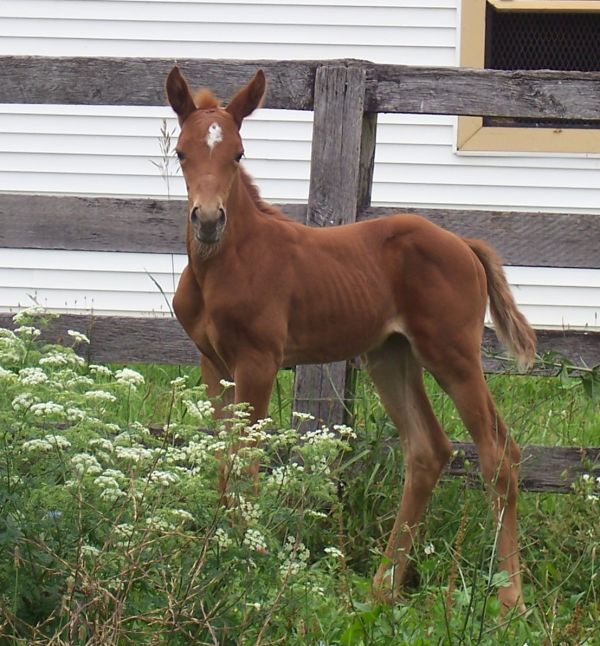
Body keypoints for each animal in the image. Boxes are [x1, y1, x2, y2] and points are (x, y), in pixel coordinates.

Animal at [166, 68, 536, 616]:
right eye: (182, 152)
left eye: (237, 153)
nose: (208, 219)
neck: (225, 265)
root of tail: (465, 246)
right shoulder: (213, 363)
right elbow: (224, 458)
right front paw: (215, 558)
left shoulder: (259, 361)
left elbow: (248, 458)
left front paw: (247, 564)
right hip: (390, 355)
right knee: (428, 450)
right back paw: (384, 585)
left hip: (453, 354)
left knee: (499, 455)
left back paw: (510, 596)